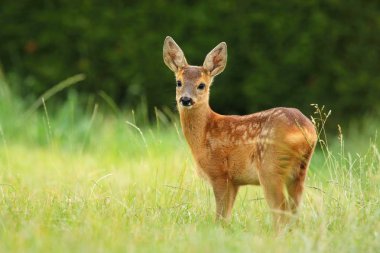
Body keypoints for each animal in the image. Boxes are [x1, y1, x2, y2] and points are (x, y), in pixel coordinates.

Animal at [162, 36, 316, 229]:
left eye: (201, 85)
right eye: (179, 82)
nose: (186, 99)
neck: (205, 132)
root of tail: (307, 131)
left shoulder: (219, 173)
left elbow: (220, 215)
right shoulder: (235, 181)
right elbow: (226, 216)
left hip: (270, 167)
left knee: (281, 210)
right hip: (300, 171)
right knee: (294, 209)